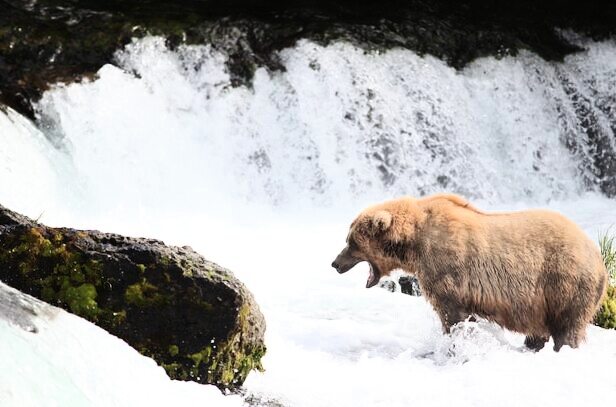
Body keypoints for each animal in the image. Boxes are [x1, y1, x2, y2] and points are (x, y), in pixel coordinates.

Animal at [332, 194, 608, 350]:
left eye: (351, 242)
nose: (335, 263)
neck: (414, 243)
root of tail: (598, 257)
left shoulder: (447, 269)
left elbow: (451, 314)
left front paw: (453, 345)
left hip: (565, 282)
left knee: (567, 326)